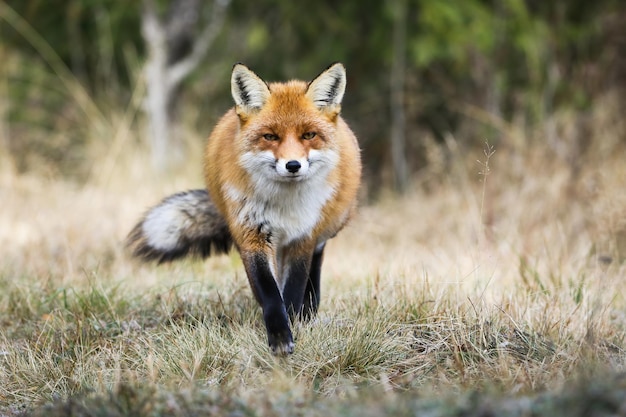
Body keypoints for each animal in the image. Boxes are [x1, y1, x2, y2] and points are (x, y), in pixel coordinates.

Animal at [125, 63, 360, 352]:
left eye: (308, 135)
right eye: (270, 136)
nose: (293, 165)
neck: (285, 205)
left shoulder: (302, 238)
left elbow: (293, 291)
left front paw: (295, 323)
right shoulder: (252, 235)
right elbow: (271, 293)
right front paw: (280, 335)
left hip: (327, 228)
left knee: (316, 264)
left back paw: (310, 309)